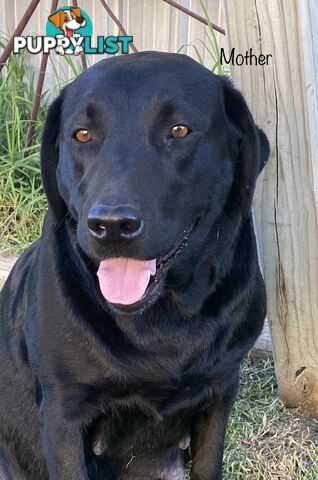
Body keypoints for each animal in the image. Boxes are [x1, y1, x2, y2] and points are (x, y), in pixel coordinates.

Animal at [0, 50, 268, 478]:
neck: (161, 319)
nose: (111, 225)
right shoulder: (63, 410)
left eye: (179, 130)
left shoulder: (221, 387)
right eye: (82, 135)